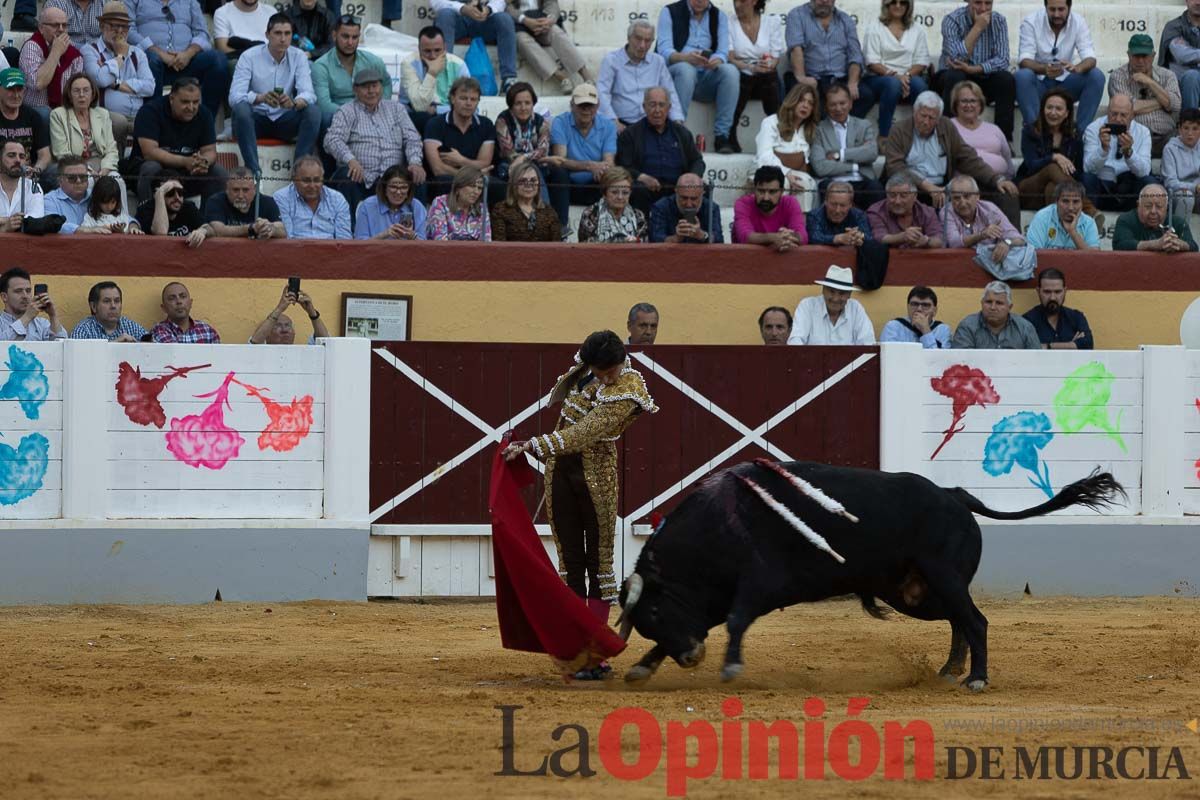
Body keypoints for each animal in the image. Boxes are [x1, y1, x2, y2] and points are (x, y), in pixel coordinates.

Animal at [619, 460, 1123, 690]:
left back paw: (975, 678)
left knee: (975, 620)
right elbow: (708, 624)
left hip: (940, 577)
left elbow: (739, 620)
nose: (692, 658)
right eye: (648, 620)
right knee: (959, 620)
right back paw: (949, 670)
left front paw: (730, 666)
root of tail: (953, 495)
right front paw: (643, 666)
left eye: (657, 611)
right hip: (914, 594)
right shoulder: (710, 601)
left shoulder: (756, 585)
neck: (719, 524)